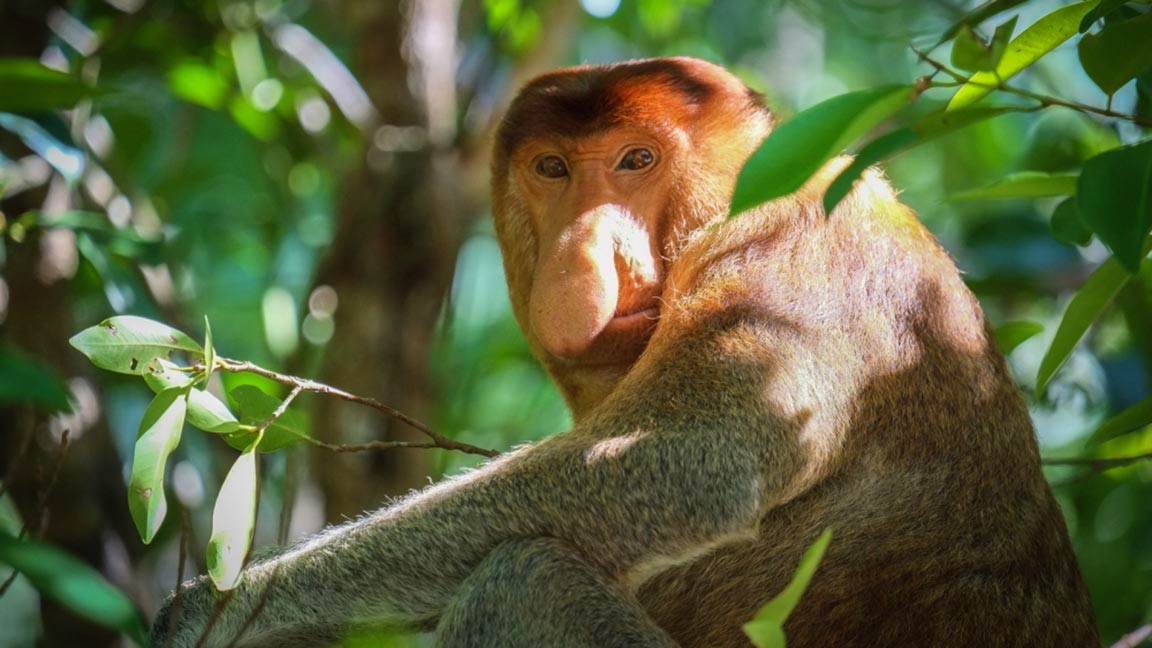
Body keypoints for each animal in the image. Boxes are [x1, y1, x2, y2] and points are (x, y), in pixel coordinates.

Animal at [153, 56, 1096, 645]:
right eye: (553, 169)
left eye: (636, 160)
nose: (585, 253)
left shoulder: (790, 248)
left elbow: (688, 459)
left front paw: (208, 613)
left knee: (524, 576)